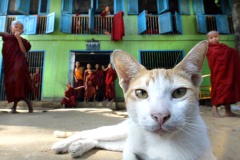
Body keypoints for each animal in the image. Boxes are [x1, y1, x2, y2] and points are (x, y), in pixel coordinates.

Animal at [52, 41, 216, 160]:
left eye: (179, 92)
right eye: (141, 93)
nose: (160, 115)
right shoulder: (130, 149)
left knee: (99, 141)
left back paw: (78, 147)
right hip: (119, 131)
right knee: (88, 132)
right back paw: (63, 143)